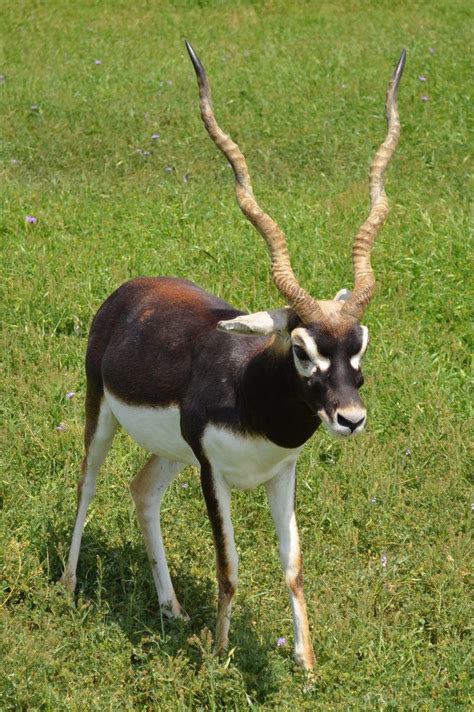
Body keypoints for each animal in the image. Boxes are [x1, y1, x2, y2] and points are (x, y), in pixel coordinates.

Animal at [61, 41, 406, 672]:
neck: (251, 393)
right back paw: (70, 586)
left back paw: (171, 611)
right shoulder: (213, 473)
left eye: (359, 345)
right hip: (101, 415)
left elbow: (293, 567)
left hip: (172, 452)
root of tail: (134, 288)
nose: (350, 418)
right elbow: (230, 566)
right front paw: (220, 657)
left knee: (142, 492)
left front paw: (307, 667)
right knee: (88, 484)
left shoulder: (281, 472)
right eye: (302, 349)